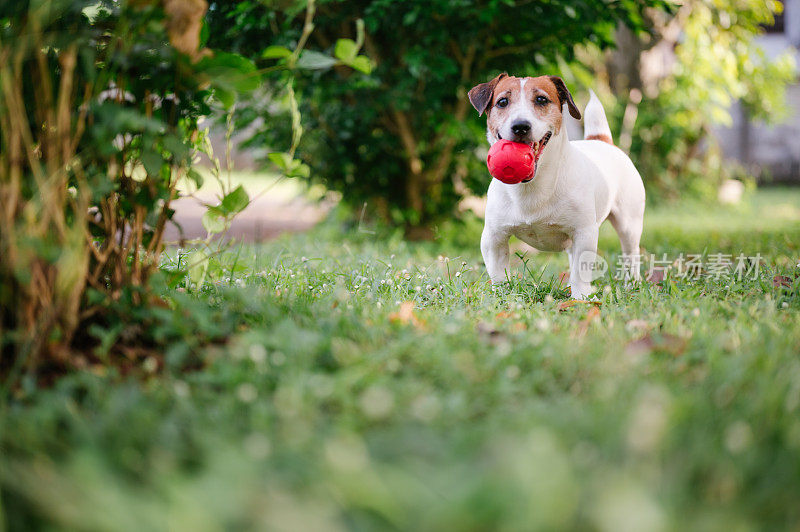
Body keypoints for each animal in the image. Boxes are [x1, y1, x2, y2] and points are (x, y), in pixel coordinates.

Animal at [468, 73, 644, 300]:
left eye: (542, 100)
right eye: (502, 102)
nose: (520, 126)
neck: (533, 187)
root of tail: (603, 141)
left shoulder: (585, 233)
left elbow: (580, 272)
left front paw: (581, 298)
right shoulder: (493, 236)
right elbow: (498, 273)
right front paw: (501, 295)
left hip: (629, 224)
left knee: (631, 253)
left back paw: (632, 283)